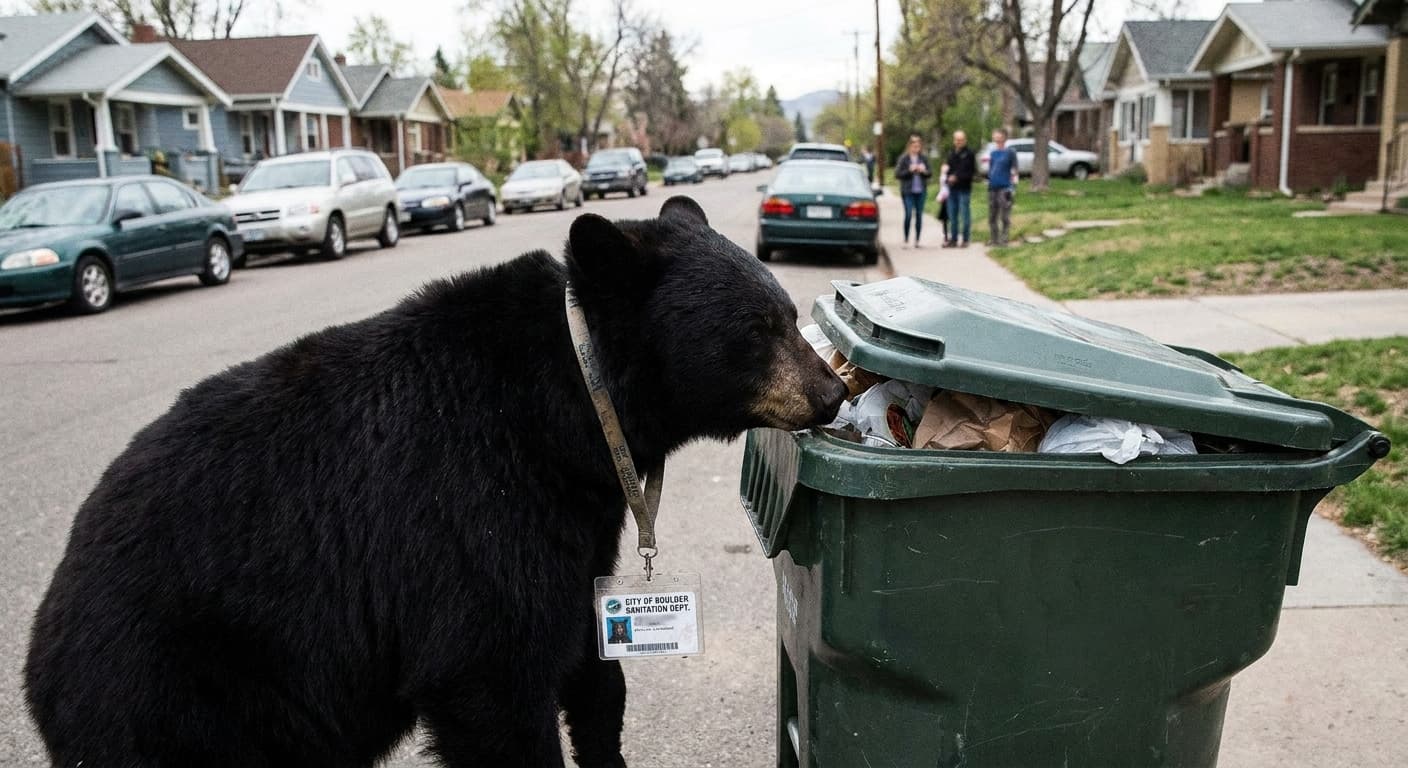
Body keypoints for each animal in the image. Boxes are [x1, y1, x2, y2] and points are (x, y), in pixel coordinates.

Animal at [24, 196, 847, 768]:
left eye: (787, 311)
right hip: (187, 693)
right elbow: (490, 677)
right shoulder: (471, 515)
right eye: (759, 329)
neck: (573, 402)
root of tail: (42, 655)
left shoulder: (573, 528)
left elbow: (591, 661)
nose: (833, 392)